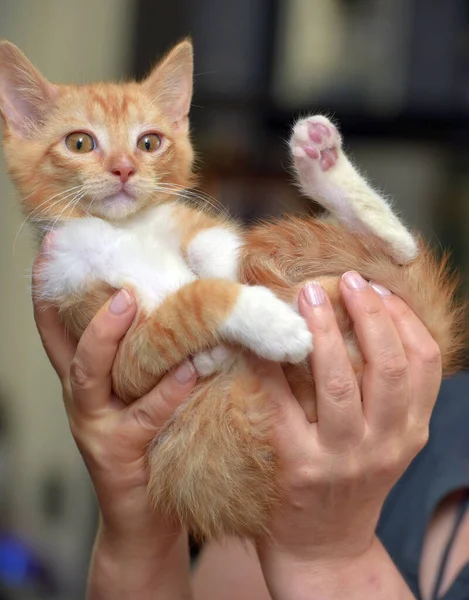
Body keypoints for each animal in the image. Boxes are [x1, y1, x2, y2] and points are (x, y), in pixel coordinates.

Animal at [0, 39, 460, 540]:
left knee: (402, 251)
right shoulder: (111, 345)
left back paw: (324, 166)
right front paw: (269, 324)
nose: (123, 169)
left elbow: (215, 250)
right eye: (80, 142)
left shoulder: (191, 228)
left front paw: (231, 278)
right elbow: (190, 303)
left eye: (149, 142)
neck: (128, 230)